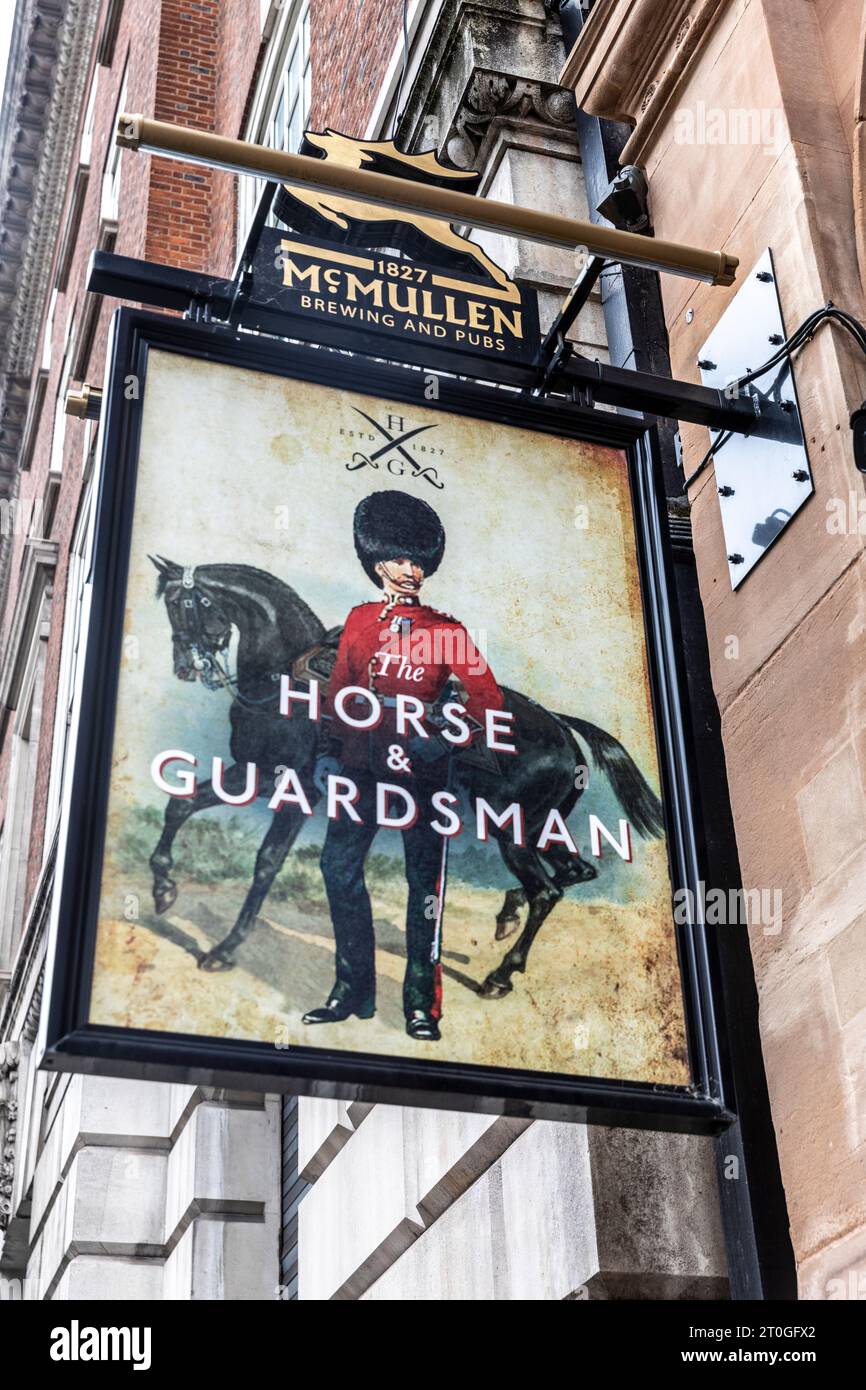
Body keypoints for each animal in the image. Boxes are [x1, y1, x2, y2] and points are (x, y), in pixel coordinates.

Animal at [148, 561, 664, 1000]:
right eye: (169, 606)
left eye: (186, 604)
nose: (184, 667)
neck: (286, 681)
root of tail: (560, 726)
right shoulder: (251, 773)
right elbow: (181, 805)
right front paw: (162, 888)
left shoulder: (299, 789)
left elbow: (267, 861)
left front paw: (225, 948)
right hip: (536, 827)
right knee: (575, 872)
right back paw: (508, 915)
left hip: (510, 830)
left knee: (548, 891)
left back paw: (499, 975)